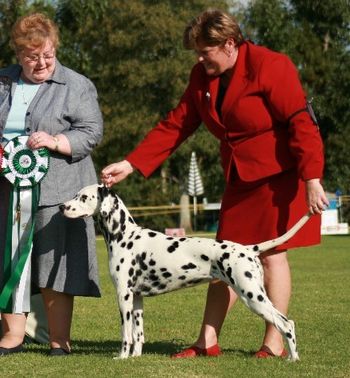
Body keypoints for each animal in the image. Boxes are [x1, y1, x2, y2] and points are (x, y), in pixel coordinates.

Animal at [60, 185, 312, 362]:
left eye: (83, 197)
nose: (62, 207)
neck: (124, 236)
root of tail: (249, 249)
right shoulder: (137, 298)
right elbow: (138, 335)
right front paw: (134, 357)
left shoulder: (123, 295)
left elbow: (126, 334)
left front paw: (121, 357)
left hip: (253, 297)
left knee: (286, 324)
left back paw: (293, 359)